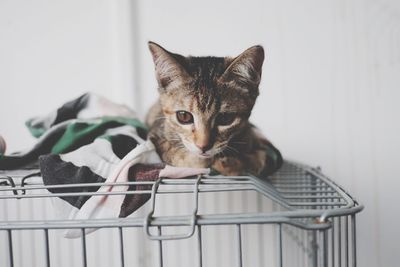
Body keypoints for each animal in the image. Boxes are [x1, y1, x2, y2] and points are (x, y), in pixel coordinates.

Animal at [146, 42, 282, 177]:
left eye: (225, 118)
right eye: (184, 116)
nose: (203, 146)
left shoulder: (262, 147)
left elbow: (258, 159)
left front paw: (232, 163)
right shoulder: (154, 136)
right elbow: (174, 153)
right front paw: (198, 160)